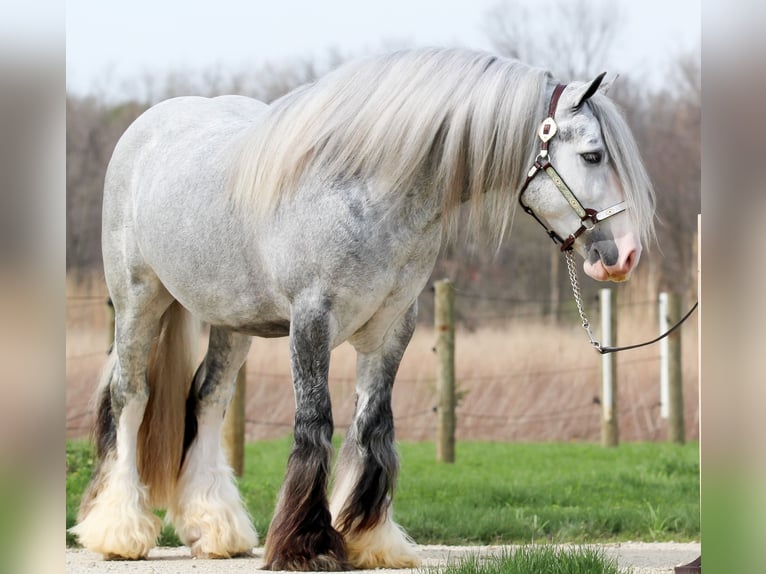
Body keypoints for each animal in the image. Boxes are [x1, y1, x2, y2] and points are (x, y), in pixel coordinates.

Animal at [70, 48, 655, 570]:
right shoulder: (311, 321)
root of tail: (147, 127)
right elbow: (316, 421)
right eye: (593, 155)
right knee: (130, 395)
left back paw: (216, 529)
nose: (625, 256)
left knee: (207, 399)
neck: (369, 189)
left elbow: (372, 424)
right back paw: (119, 530)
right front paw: (307, 545)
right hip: (139, 300)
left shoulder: (392, 328)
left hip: (230, 323)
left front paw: (370, 540)